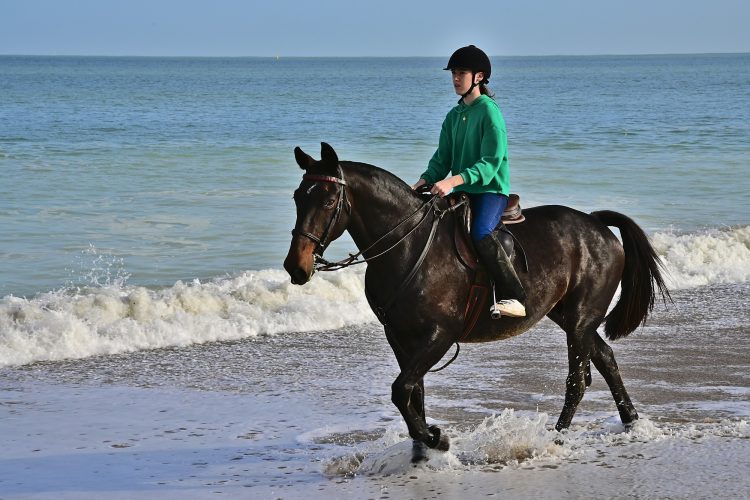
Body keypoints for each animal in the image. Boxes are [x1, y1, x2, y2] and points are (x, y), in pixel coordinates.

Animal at [284, 142, 670, 455]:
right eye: (298, 196)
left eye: (328, 201)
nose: (295, 267)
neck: (409, 247)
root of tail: (597, 225)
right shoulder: (400, 337)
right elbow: (413, 393)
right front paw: (423, 446)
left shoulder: (440, 336)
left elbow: (401, 389)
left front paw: (435, 438)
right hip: (567, 316)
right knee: (605, 358)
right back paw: (631, 421)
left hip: (579, 320)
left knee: (577, 380)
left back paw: (556, 437)